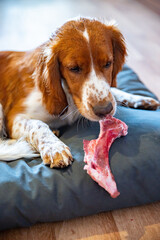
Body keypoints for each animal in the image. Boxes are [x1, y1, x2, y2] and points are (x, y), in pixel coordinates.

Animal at [0, 17, 159, 167]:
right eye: (74, 68)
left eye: (108, 63)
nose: (104, 110)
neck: (68, 95)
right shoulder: (13, 118)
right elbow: (38, 125)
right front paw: (54, 148)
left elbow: (113, 91)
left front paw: (139, 98)